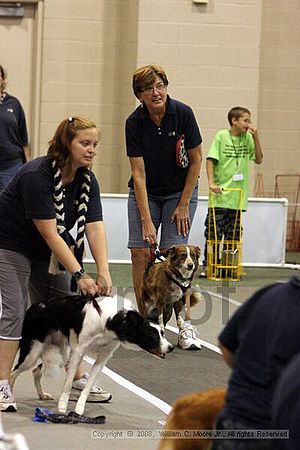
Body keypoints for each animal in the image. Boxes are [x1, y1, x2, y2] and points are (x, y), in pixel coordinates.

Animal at [11, 296, 173, 414]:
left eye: (163, 333)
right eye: (152, 336)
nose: (171, 348)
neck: (112, 321)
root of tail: (35, 306)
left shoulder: (102, 359)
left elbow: (87, 387)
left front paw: (79, 409)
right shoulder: (79, 352)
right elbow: (67, 384)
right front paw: (63, 406)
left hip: (62, 352)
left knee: (35, 371)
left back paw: (42, 394)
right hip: (32, 352)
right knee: (14, 372)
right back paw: (10, 397)